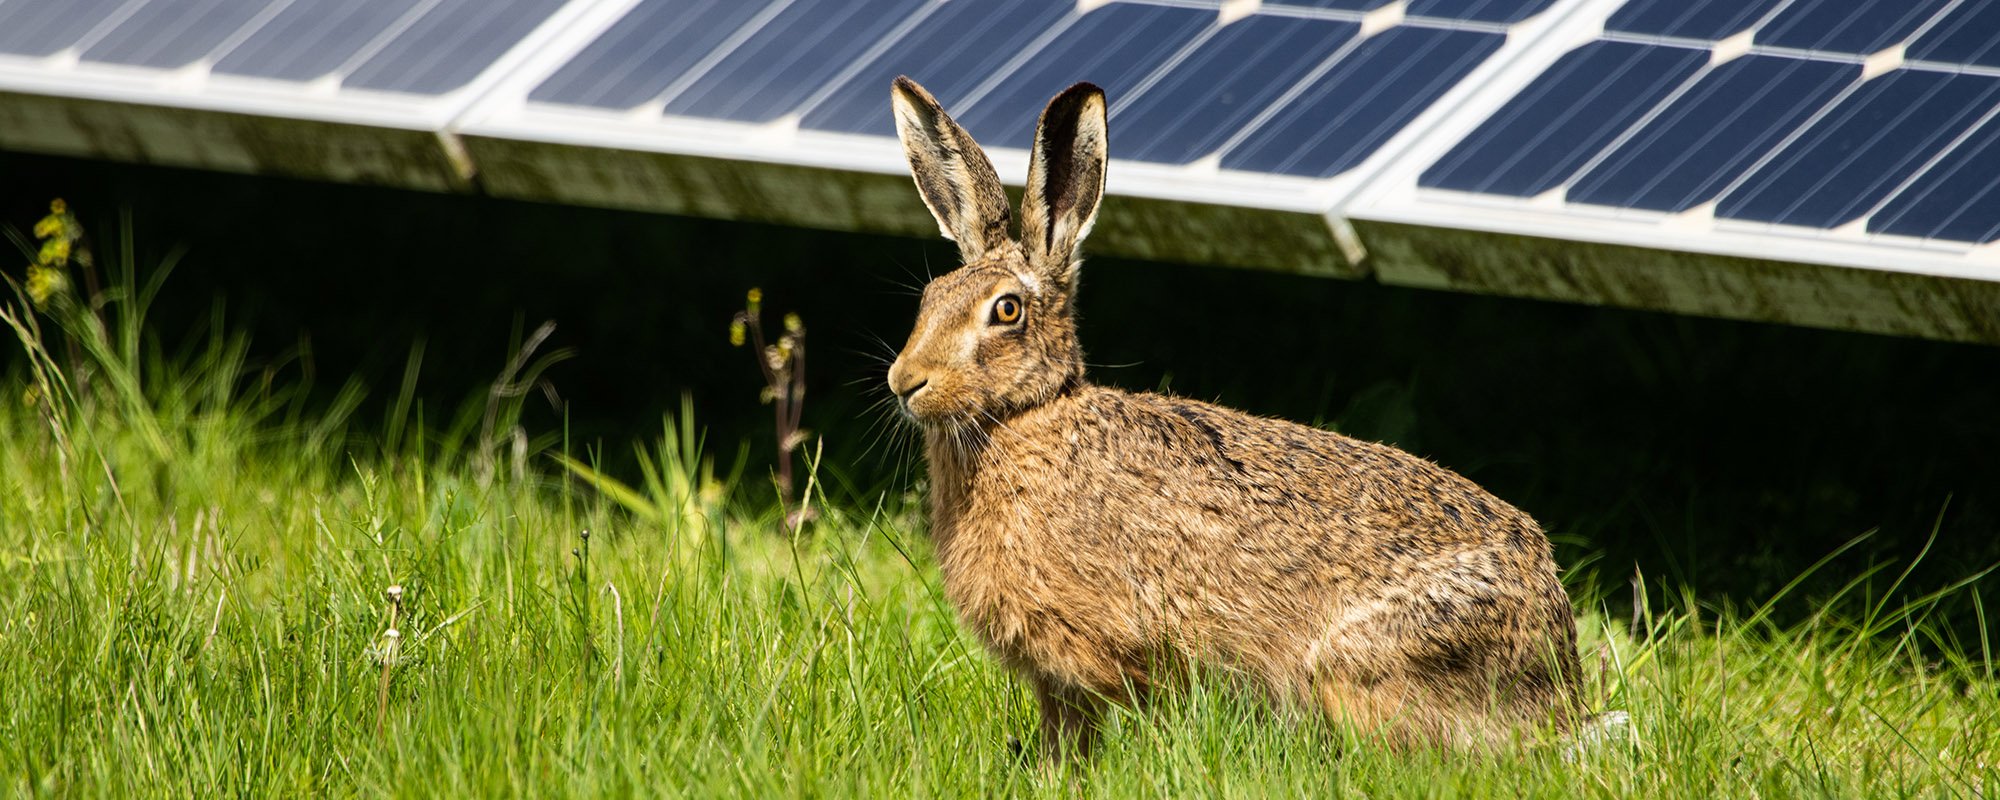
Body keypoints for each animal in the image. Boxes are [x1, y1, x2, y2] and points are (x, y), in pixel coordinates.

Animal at [883, 76, 1583, 758]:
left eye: (1006, 311)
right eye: (930, 297)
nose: (905, 382)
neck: (1029, 414)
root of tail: (1556, 660)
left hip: (1365, 663)